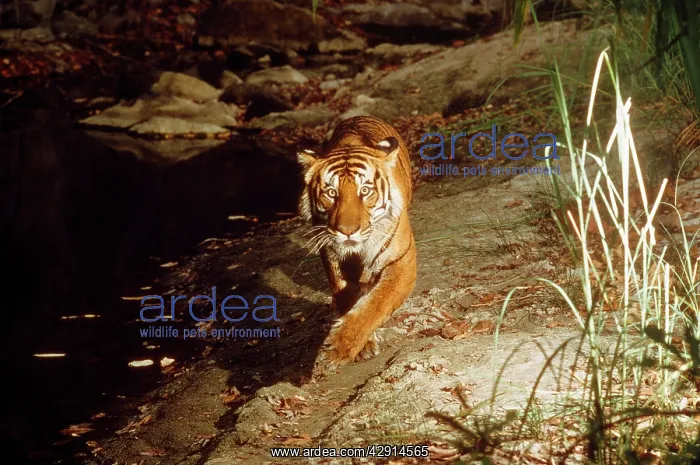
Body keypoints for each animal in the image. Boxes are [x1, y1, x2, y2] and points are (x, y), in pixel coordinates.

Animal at [297, 116, 417, 374]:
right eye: (331, 193)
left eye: (365, 190)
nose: (347, 231)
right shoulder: (331, 254)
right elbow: (347, 296)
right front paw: (361, 344)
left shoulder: (401, 260)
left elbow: (379, 301)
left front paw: (339, 347)